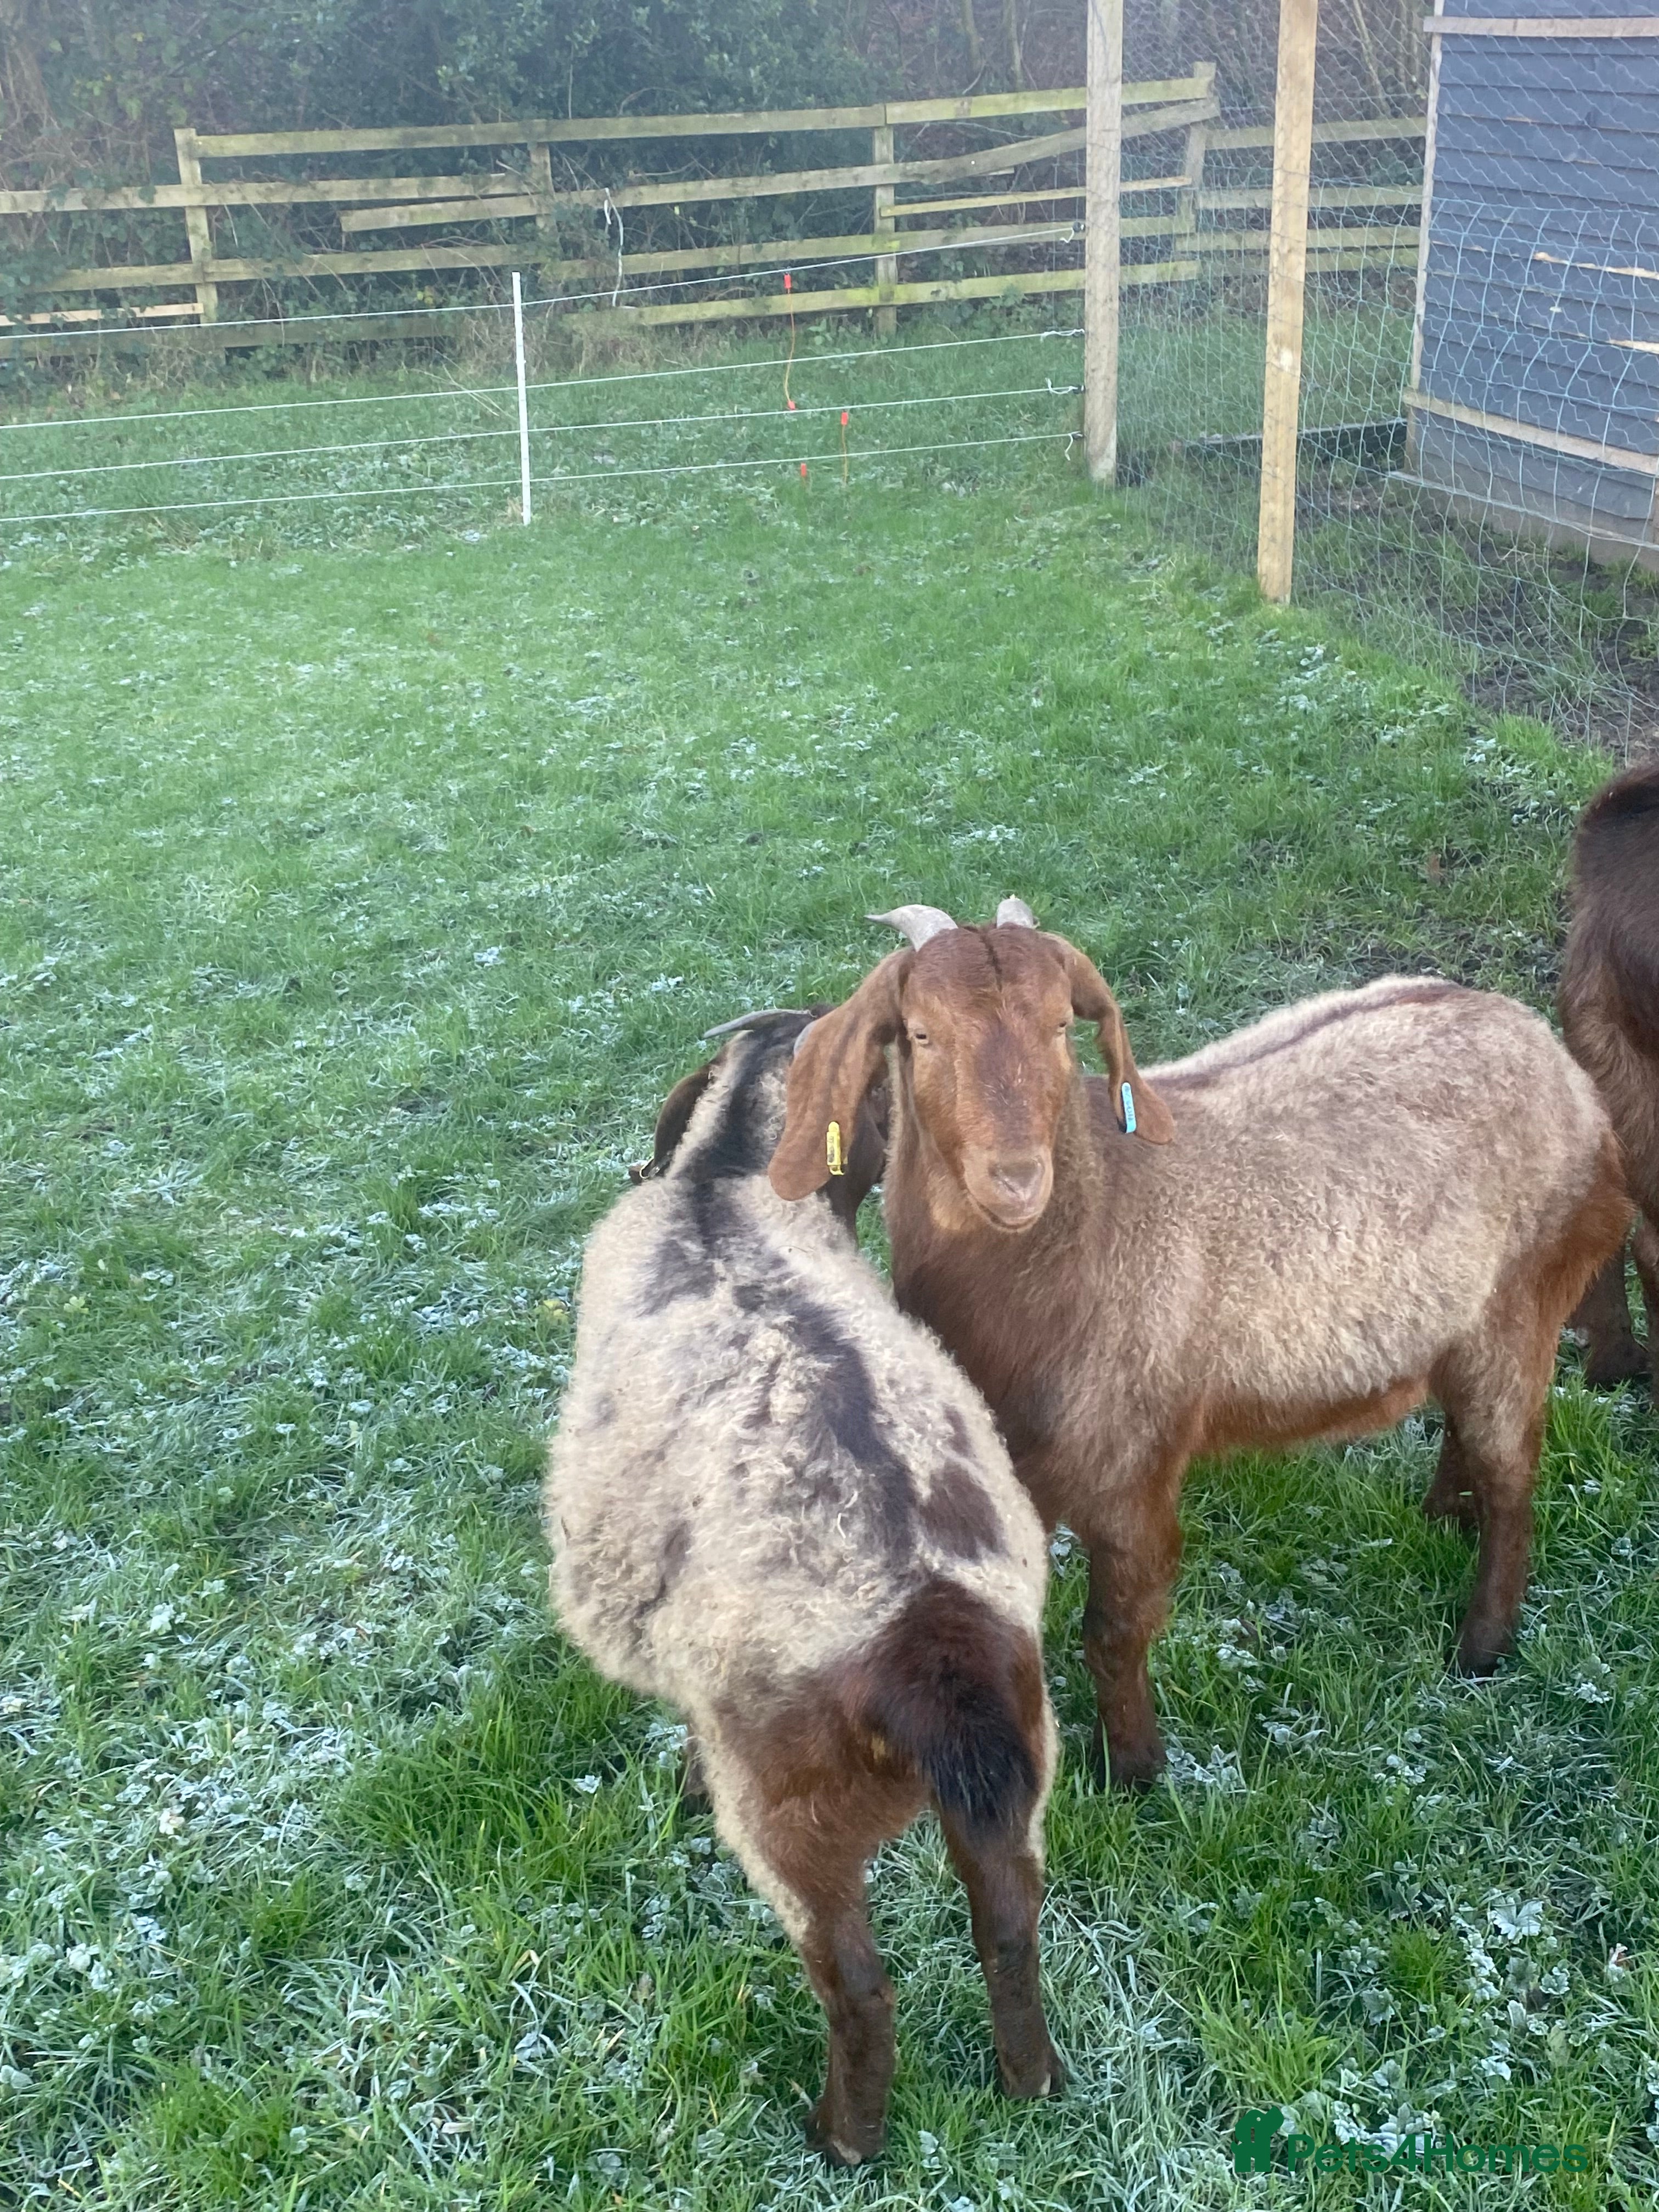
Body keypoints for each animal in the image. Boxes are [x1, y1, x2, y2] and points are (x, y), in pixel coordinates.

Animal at [545, 1010, 1061, 2165]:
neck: (723, 1175)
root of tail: (924, 1632)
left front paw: (682, 1785)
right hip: (1019, 1758)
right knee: (1008, 1926)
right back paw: (1031, 2085)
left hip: (790, 1818)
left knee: (858, 1988)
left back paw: (842, 2140)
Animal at [770, 904, 1629, 1789]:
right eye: (921, 1034)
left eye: (1059, 1025)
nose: (1016, 1179)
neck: (1096, 1219)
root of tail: (1551, 1055)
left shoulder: (1134, 1456)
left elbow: (1117, 1628)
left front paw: (1136, 1770)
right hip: (1460, 1327)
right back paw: (1441, 1518)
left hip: (1522, 1303)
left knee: (1513, 1474)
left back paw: (1482, 1646)